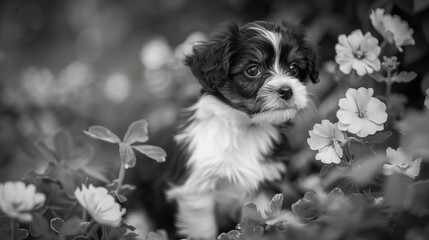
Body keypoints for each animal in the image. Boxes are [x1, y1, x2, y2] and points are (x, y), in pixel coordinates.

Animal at [166, 21, 320, 240]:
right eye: (252, 70)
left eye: (294, 68)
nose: (287, 90)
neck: (244, 128)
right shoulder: (197, 190)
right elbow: (204, 230)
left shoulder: (263, 182)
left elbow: (265, 219)